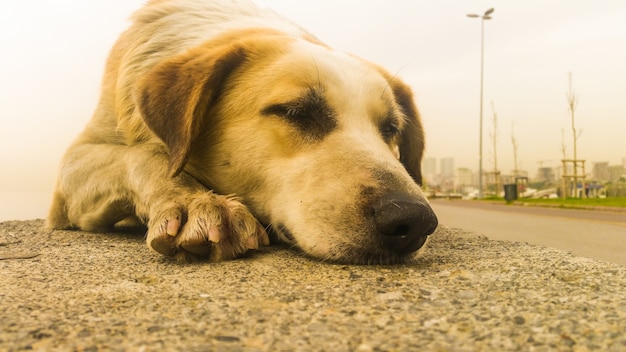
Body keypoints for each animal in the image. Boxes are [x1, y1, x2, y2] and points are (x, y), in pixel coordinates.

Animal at [46, 0, 436, 264]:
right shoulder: (71, 175)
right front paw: (194, 201)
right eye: (297, 112)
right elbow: (143, 154)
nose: (415, 220)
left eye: (391, 128)